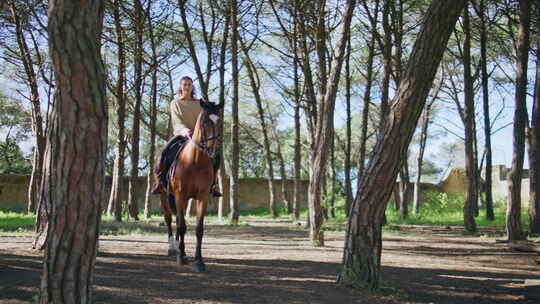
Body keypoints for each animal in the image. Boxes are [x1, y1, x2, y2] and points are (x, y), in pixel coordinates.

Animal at [159, 99, 223, 270]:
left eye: (220, 121)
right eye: (205, 121)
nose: (214, 151)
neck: (195, 161)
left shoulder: (202, 197)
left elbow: (198, 229)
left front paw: (199, 261)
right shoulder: (179, 195)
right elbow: (181, 226)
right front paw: (181, 257)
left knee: (177, 219)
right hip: (164, 195)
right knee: (169, 219)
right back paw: (172, 248)